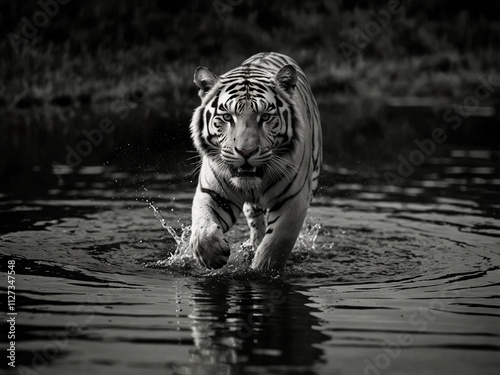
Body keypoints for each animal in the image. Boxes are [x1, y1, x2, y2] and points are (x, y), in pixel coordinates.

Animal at [187, 51, 320, 274]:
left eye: (265, 117)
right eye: (227, 117)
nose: (246, 151)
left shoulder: (294, 200)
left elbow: (277, 243)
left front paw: (261, 270)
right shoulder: (213, 192)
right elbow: (203, 226)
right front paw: (212, 256)